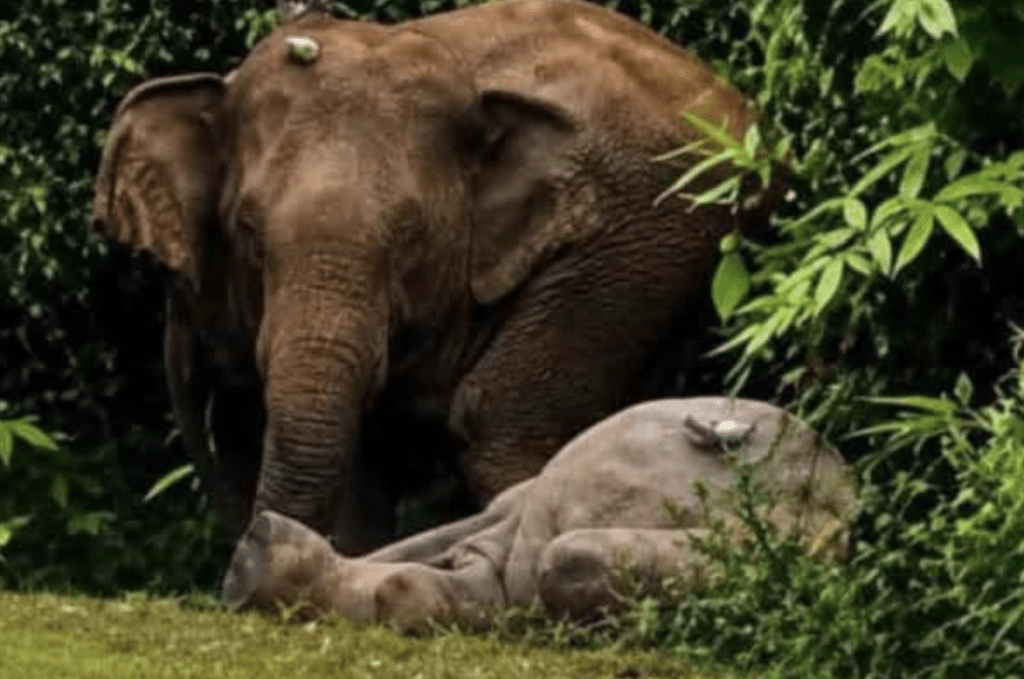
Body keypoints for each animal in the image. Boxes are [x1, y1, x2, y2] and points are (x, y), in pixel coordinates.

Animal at [221, 397, 856, 631]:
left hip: (790, 536)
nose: (253, 537)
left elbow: (415, 588)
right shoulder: (500, 517)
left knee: (566, 557)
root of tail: (842, 496)